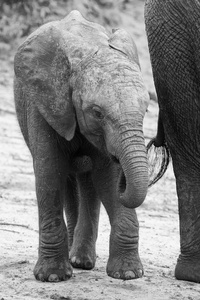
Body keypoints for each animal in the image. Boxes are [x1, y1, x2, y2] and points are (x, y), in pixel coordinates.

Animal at [14, 9, 150, 282]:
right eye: (97, 113)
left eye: (146, 110)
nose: (125, 178)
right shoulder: (45, 104)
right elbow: (49, 172)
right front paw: (52, 277)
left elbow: (106, 177)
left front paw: (128, 273)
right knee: (67, 179)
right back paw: (74, 260)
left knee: (87, 183)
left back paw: (81, 260)